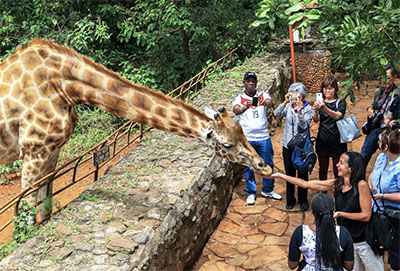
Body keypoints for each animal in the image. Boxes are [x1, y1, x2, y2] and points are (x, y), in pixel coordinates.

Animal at [0, 39, 272, 222]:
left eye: (242, 131)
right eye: (226, 145)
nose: (264, 166)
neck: (66, 87)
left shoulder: (52, 149)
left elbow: (44, 205)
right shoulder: (33, 150)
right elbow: (27, 208)